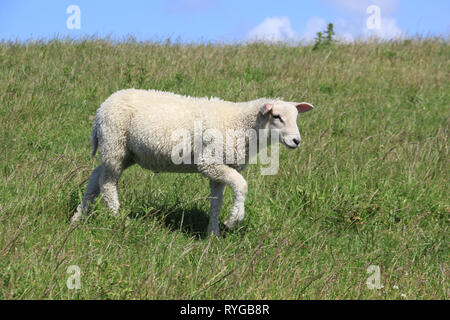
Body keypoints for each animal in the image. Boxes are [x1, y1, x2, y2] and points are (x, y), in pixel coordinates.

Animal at [72, 89, 314, 235]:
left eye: (296, 118)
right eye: (277, 117)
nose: (296, 141)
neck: (243, 125)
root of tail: (101, 108)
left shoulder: (220, 167)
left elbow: (216, 202)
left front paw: (213, 234)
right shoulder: (209, 162)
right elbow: (242, 185)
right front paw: (234, 219)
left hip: (125, 152)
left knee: (95, 176)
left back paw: (78, 216)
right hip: (114, 142)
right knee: (107, 183)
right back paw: (117, 218)